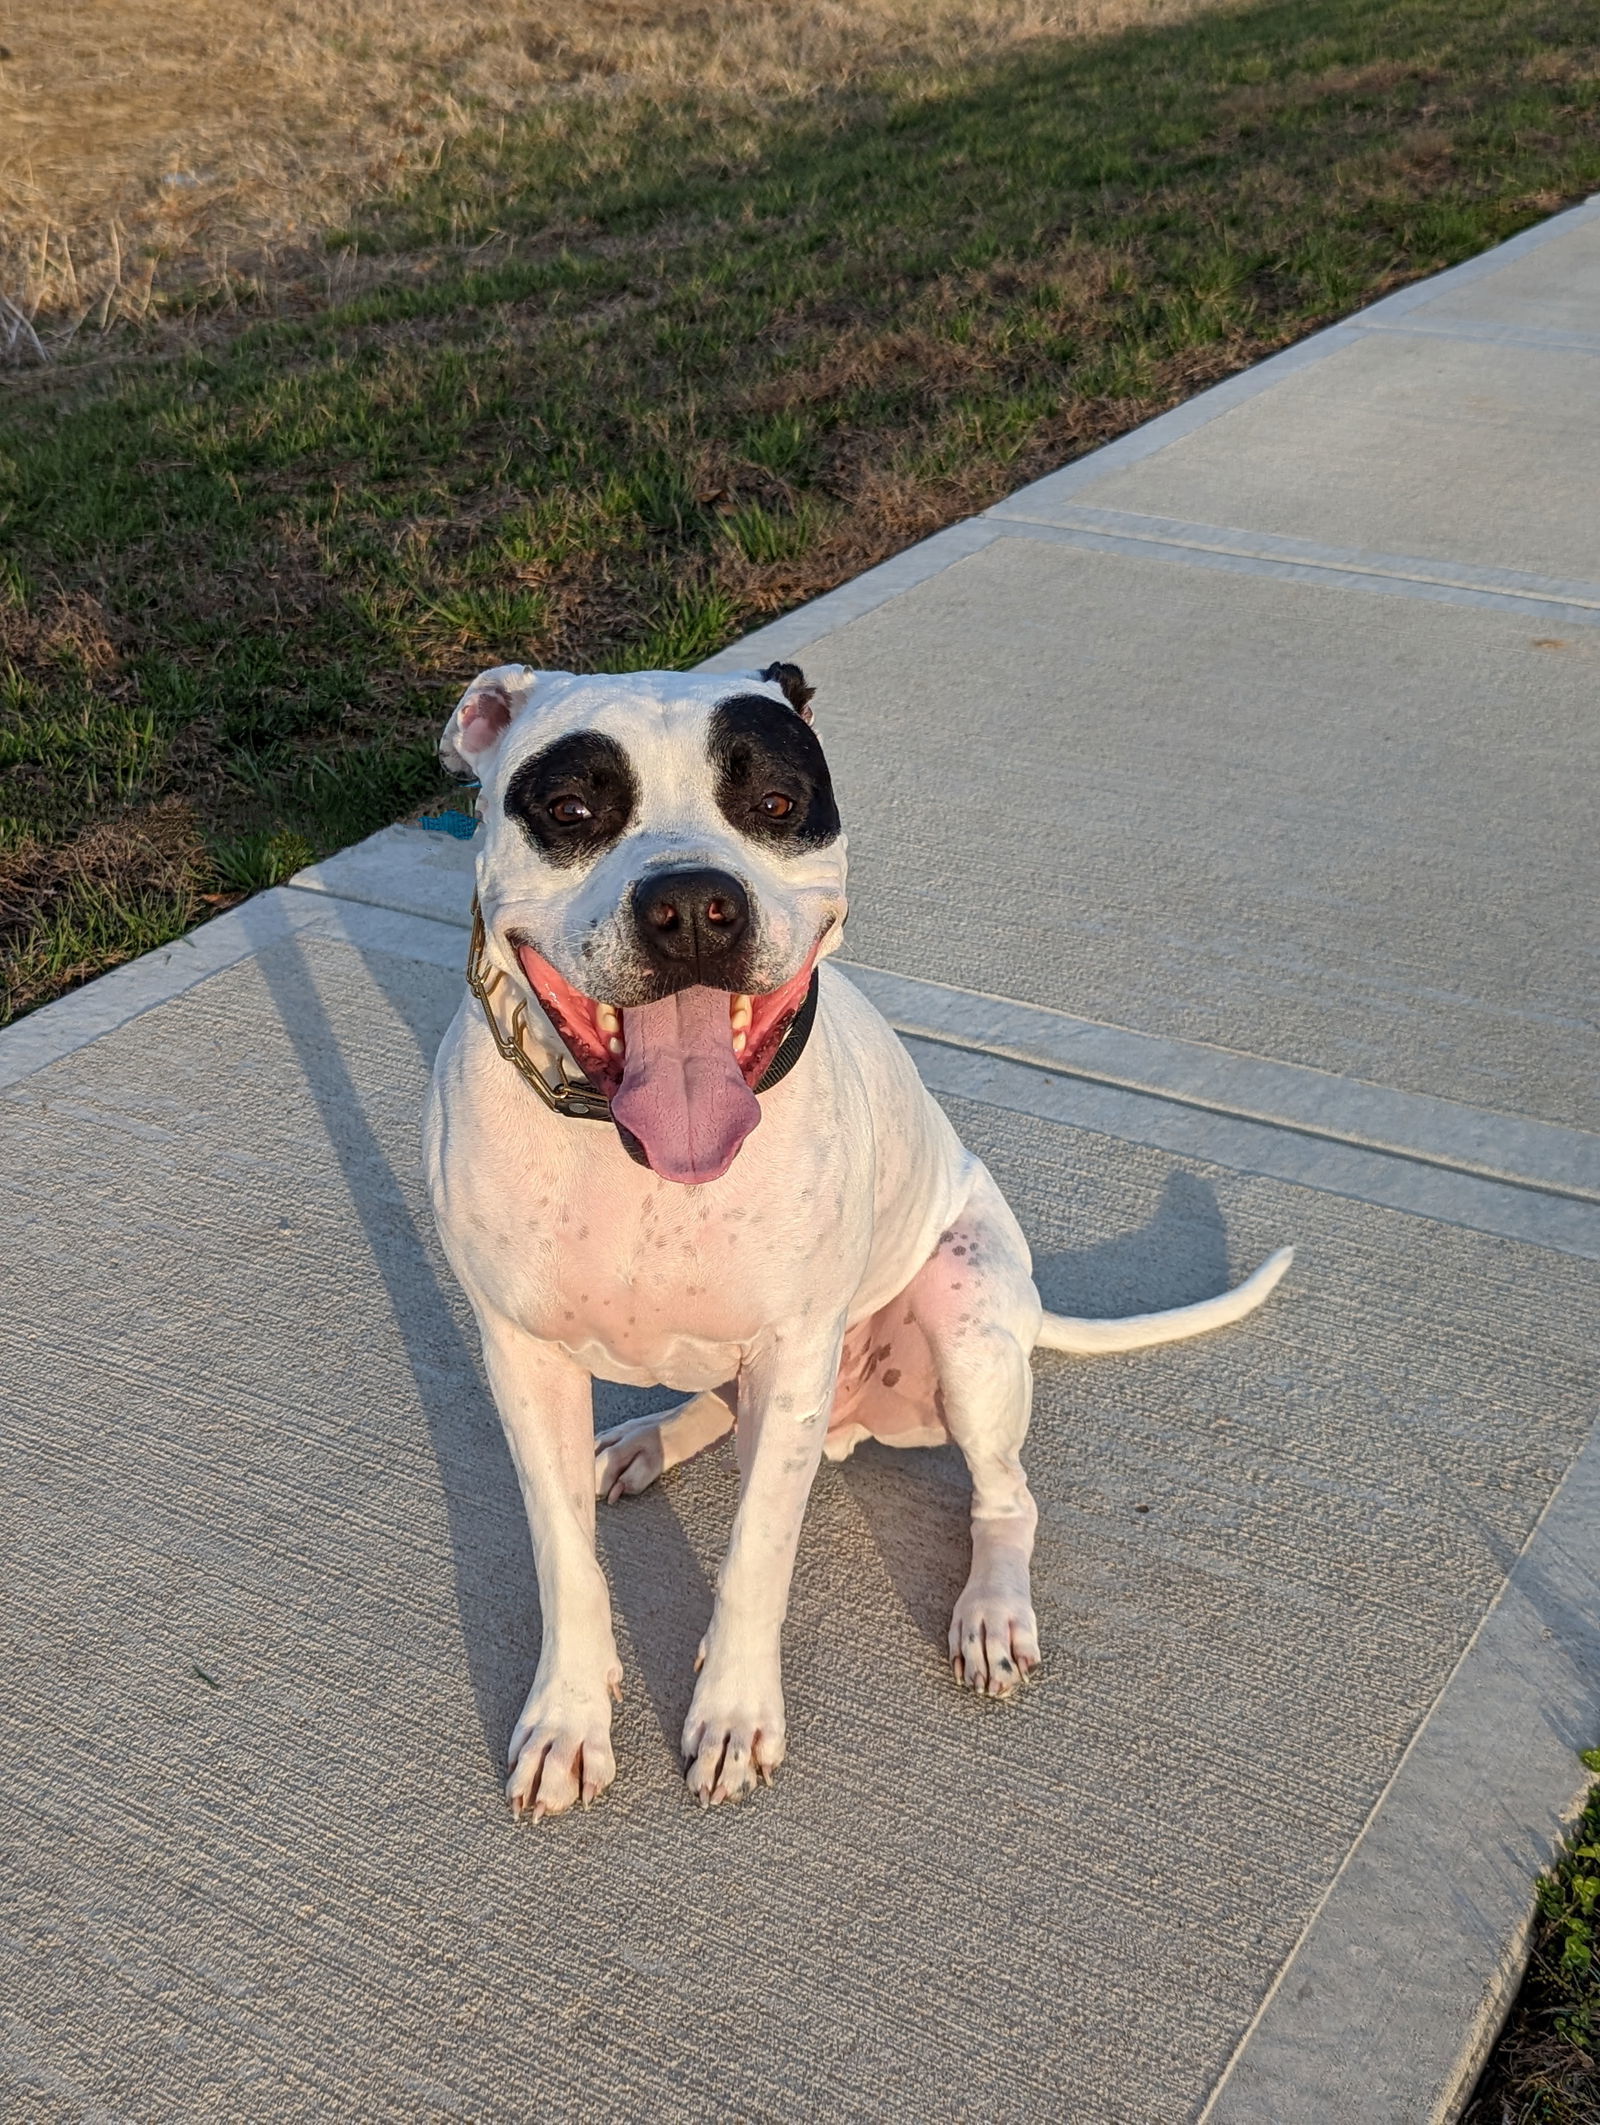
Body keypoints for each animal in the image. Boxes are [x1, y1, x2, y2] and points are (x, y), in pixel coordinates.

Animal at [420, 658, 1283, 1810]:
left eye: (776, 804)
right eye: (570, 810)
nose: (691, 906)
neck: (639, 1158)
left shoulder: (794, 1351)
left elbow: (753, 1556)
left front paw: (734, 1714)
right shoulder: (521, 1357)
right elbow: (566, 1560)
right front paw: (566, 1719)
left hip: (962, 1315)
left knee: (1007, 1497)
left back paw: (991, 1613)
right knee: (713, 1403)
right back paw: (650, 1437)